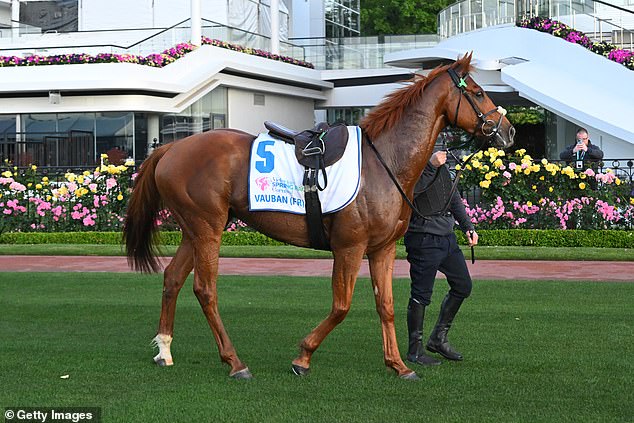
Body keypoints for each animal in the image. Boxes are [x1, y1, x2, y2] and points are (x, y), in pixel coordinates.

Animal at [123, 53, 512, 380]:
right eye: (479, 93)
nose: (508, 130)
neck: (383, 161)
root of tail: (172, 147)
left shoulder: (383, 249)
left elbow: (386, 305)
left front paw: (399, 365)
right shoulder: (349, 247)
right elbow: (342, 306)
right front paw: (303, 356)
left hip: (194, 230)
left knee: (173, 278)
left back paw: (165, 350)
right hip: (208, 229)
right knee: (205, 290)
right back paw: (235, 362)